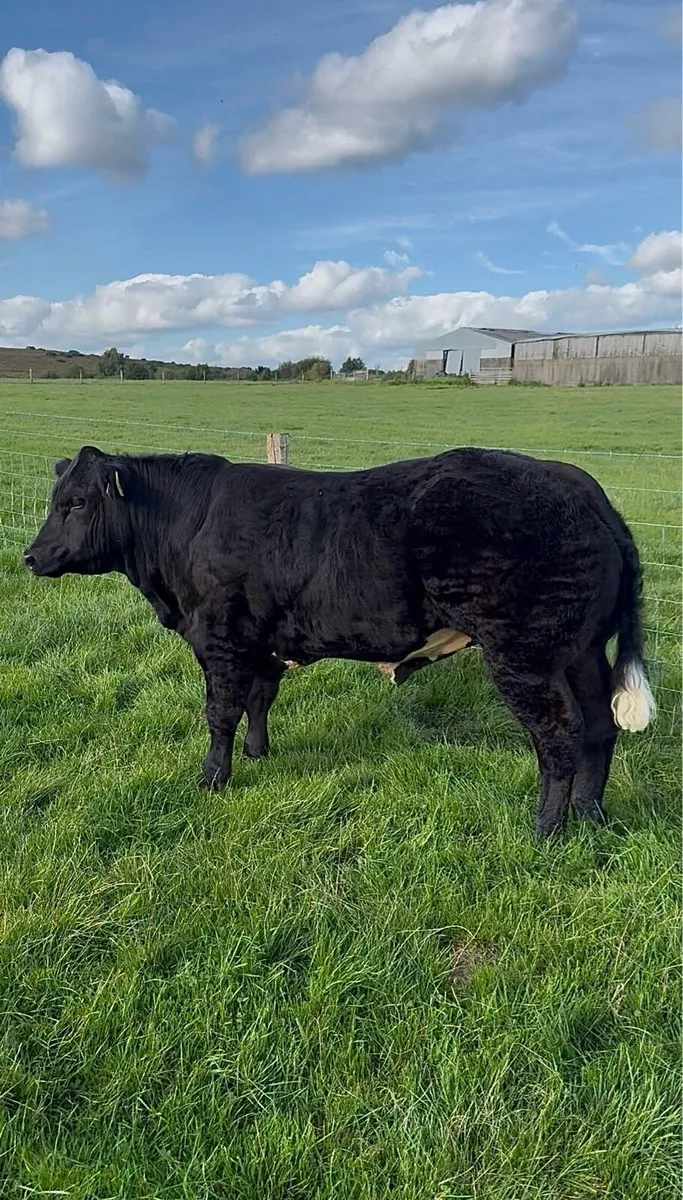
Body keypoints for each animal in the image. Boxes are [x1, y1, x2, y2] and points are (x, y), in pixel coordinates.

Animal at [23, 444, 655, 836]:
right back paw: (590, 816)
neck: (186, 528)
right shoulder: (262, 638)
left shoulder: (220, 637)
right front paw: (258, 754)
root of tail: (575, 483)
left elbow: (220, 711)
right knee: (599, 727)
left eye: (76, 502)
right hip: (580, 652)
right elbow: (260, 699)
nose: (31, 557)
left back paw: (545, 827)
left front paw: (211, 777)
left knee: (559, 733)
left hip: (524, 655)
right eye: (57, 499)